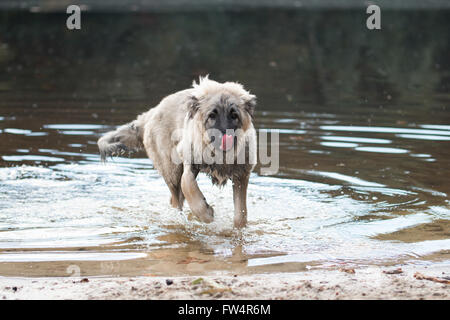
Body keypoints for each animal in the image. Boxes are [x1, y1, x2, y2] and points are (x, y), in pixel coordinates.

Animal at [97, 75, 256, 228]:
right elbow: (189, 187)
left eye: (234, 115)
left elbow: (241, 213)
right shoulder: (188, 162)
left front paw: (239, 228)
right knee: (176, 199)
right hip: (171, 171)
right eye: (212, 115)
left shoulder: (242, 175)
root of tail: (152, 112)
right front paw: (206, 214)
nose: (224, 136)